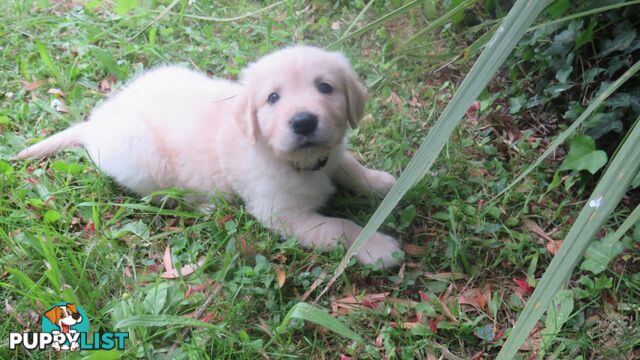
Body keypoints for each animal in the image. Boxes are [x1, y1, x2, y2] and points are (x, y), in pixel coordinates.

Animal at [13, 45, 404, 268]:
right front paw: (377, 246)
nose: (304, 121)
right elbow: (340, 227)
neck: (300, 162)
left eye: (325, 87)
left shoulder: (331, 155)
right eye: (272, 98)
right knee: (161, 195)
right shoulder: (283, 215)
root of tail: (96, 124)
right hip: (143, 159)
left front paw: (380, 183)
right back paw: (203, 205)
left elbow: (349, 166)